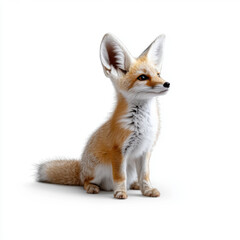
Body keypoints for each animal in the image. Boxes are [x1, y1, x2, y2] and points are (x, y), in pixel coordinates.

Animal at [37, 33, 171, 199]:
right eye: (143, 77)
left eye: (158, 74)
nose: (167, 83)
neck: (142, 125)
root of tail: (81, 168)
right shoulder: (119, 150)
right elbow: (120, 176)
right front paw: (120, 192)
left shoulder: (145, 150)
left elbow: (145, 176)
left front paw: (147, 190)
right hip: (97, 169)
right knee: (85, 181)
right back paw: (93, 187)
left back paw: (134, 185)